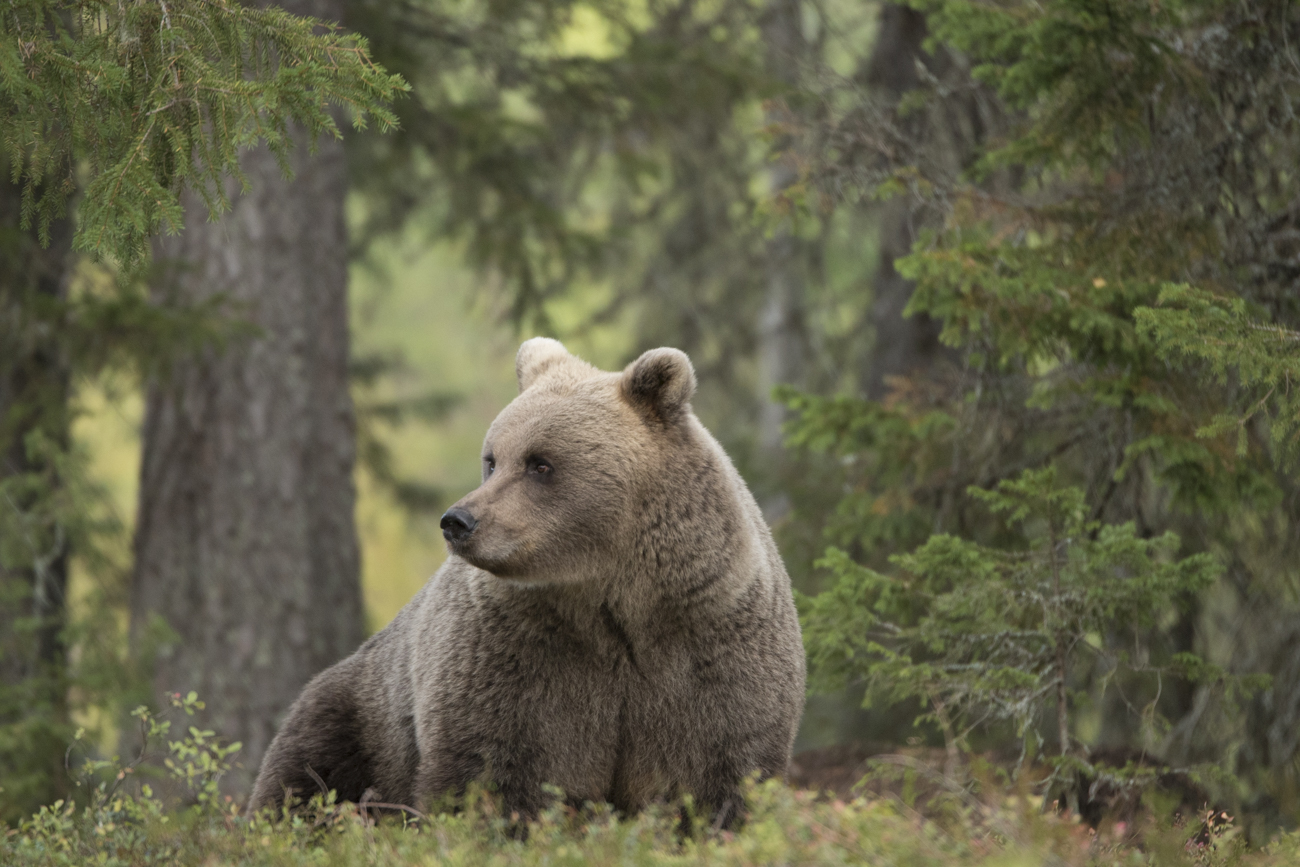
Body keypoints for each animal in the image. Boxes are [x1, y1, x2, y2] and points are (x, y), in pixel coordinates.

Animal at [245, 337, 800, 821]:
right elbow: (494, 773)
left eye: (541, 463)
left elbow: (717, 776)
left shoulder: (707, 647)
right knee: (308, 780)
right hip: (363, 715)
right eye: (492, 459)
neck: (611, 600)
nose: (458, 521)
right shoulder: (516, 657)